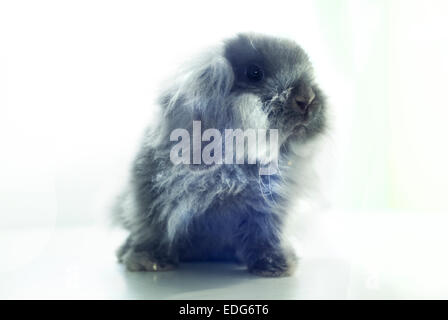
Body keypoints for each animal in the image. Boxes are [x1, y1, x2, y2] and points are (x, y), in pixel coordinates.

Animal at [114, 33, 328, 278]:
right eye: (254, 73)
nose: (307, 99)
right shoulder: (150, 194)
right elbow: (152, 229)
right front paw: (150, 262)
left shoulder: (270, 211)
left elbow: (267, 237)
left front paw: (276, 267)